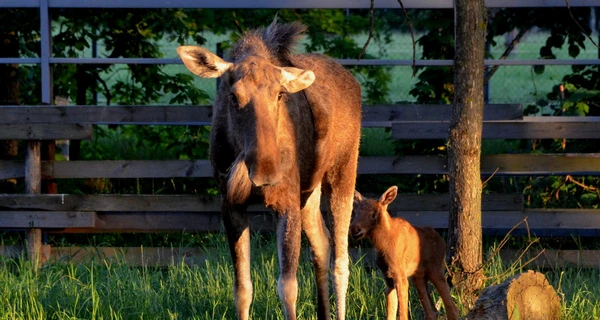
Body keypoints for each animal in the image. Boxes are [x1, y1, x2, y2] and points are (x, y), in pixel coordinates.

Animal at [176, 20, 358, 320]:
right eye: (233, 96)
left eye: (280, 94)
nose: (266, 172)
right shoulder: (231, 204)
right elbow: (242, 288)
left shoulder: (286, 203)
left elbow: (288, 287)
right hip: (308, 192)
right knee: (321, 243)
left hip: (343, 171)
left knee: (341, 262)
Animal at [350, 186, 458, 320]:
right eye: (355, 212)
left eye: (374, 214)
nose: (354, 229)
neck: (383, 245)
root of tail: (441, 240)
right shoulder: (388, 278)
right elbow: (390, 314)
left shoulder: (400, 276)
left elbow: (403, 315)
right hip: (419, 276)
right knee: (432, 311)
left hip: (436, 270)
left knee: (451, 307)